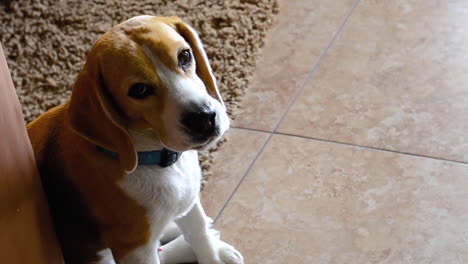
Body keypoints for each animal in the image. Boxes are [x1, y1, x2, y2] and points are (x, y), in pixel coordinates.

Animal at [27, 16, 243, 264]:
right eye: (139, 90)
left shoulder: (188, 196)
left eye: (185, 56)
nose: (204, 118)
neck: (154, 157)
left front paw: (212, 255)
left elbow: (198, 231)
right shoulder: (135, 247)